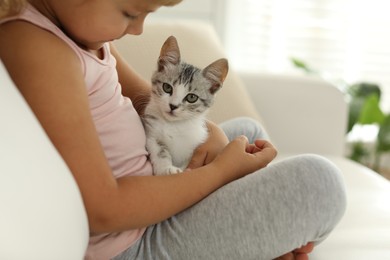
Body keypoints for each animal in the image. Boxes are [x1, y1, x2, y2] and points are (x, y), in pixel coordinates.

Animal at [142, 35, 229, 176]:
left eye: (192, 97)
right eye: (167, 87)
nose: (173, 106)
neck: (175, 126)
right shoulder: (152, 134)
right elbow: (160, 150)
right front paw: (166, 168)